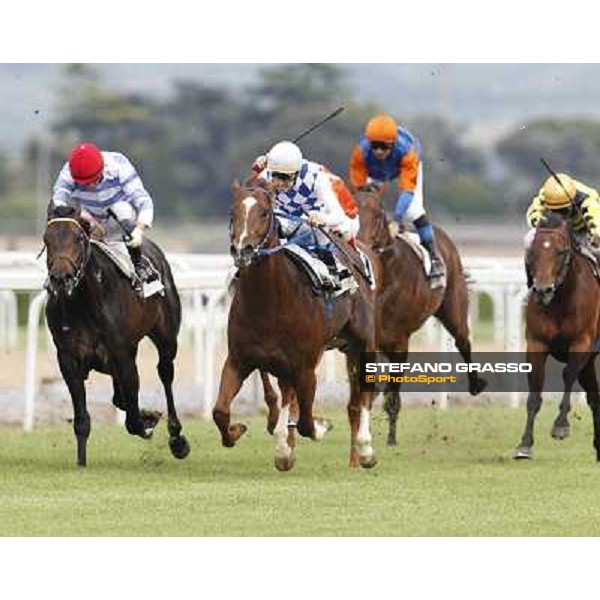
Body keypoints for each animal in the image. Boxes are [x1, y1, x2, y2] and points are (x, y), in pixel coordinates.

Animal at [44, 204, 190, 466]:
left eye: (78, 238)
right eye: (46, 239)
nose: (60, 279)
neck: (84, 303)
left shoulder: (122, 355)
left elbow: (132, 421)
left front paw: (147, 424)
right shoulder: (69, 359)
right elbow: (82, 420)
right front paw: (81, 463)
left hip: (166, 338)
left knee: (165, 373)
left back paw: (176, 438)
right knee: (119, 396)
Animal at [213, 180, 378, 472]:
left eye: (264, 213)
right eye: (232, 213)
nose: (242, 250)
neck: (269, 303)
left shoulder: (305, 368)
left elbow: (307, 423)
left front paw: (321, 427)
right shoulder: (239, 360)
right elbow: (220, 411)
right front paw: (237, 432)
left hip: (364, 341)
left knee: (365, 391)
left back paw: (365, 449)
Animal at [356, 188, 488, 446]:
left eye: (378, 216)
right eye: (352, 212)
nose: (360, 245)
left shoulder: (400, 341)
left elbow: (393, 393)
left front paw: (391, 437)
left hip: (453, 306)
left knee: (463, 341)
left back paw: (476, 383)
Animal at [512, 213, 600, 462]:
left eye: (561, 251)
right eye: (532, 252)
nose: (543, 290)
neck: (561, 300)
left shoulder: (582, 342)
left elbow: (568, 373)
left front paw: (561, 425)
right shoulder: (536, 343)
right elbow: (534, 392)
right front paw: (525, 444)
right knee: (595, 397)